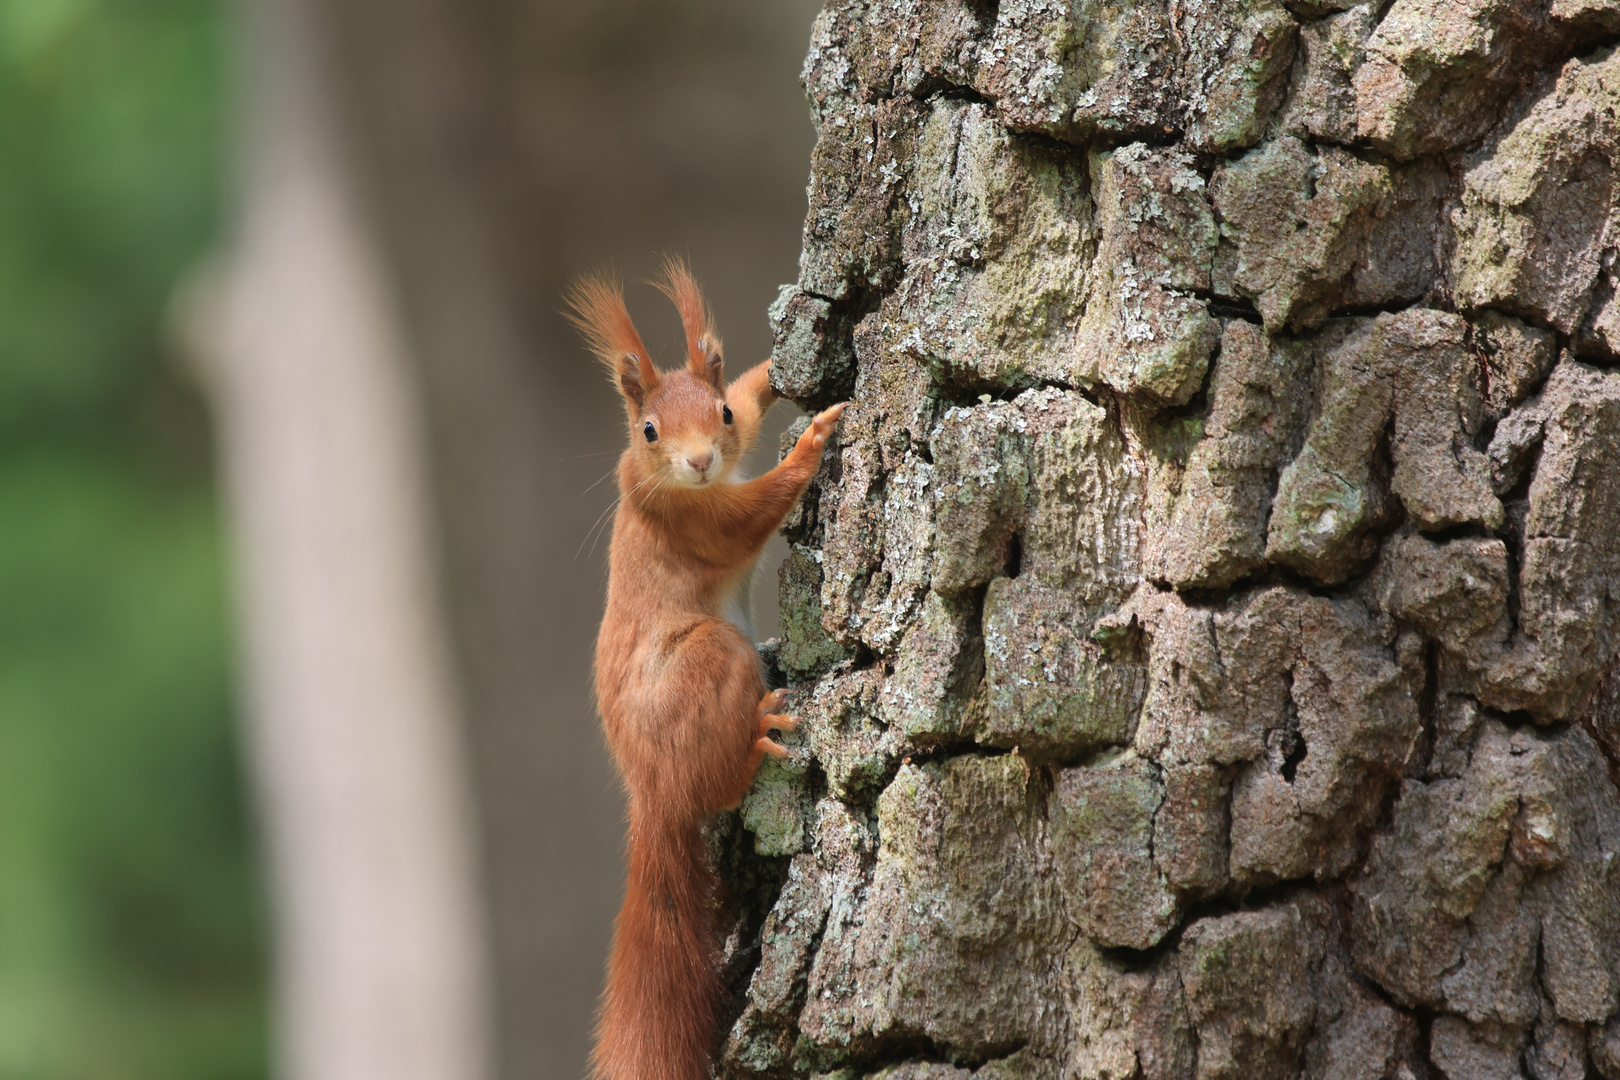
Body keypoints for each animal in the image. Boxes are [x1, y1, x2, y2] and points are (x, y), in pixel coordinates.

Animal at [570, 259, 848, 1080]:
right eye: (649, 431)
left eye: (719, 413)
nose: (697, 462)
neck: (686, 483)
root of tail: (652, 793)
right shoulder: (693, 519)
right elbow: (753, 512)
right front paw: (810, 444)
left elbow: (755, 401)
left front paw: (780, 372)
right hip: (712, 657)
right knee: (721, 779)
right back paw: (759, 730)